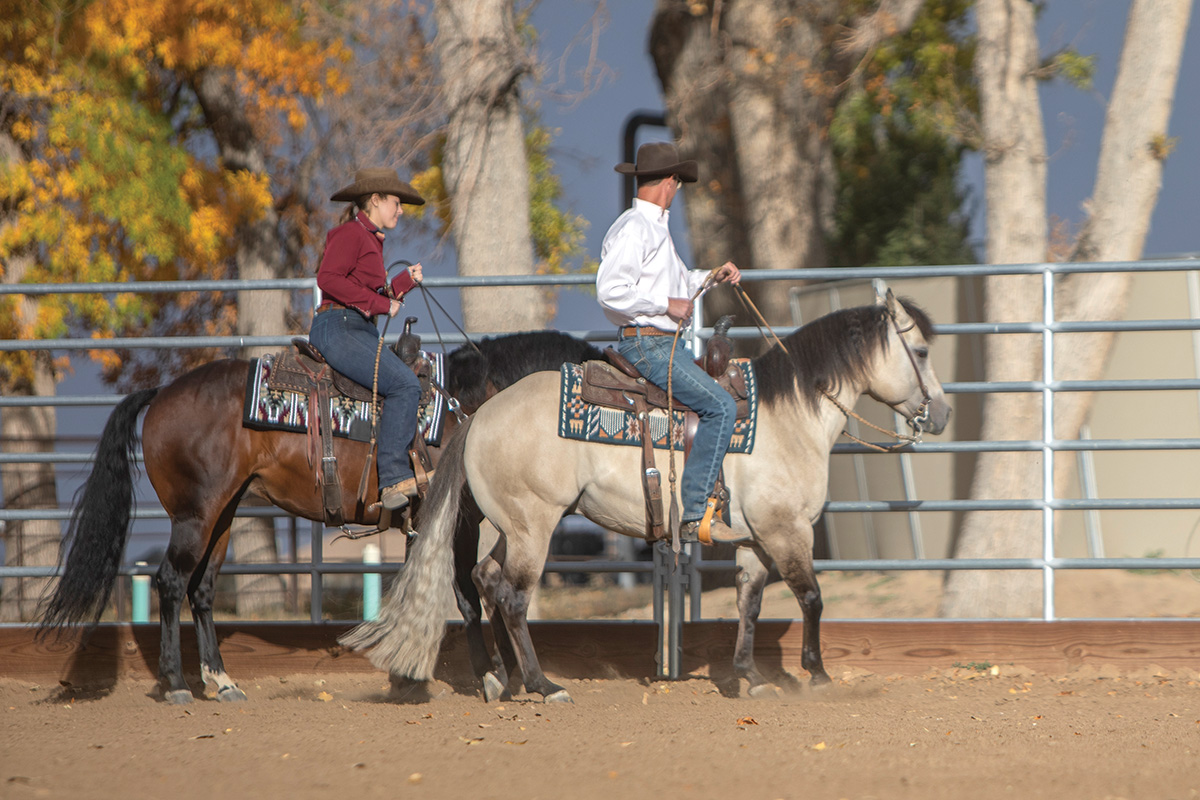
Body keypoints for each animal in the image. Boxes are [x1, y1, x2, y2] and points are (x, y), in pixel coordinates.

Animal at [37, 328, 600, 705]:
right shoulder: (457, 519)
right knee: (172, 583)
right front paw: (490, 678)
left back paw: (221, 681)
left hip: (224, 514)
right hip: (194, 516)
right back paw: (176, 684)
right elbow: (465, 597)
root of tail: (163, 393)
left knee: (203, 590)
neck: (470, 402)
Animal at [343, 291, 950, 705]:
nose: (942, 414)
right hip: (533, 526)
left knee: (486, 582)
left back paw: (507, 679)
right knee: (512, 597)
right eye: (920, 350)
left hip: (513, 527)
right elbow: (812, 598)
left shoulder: (756, 539)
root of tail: (477, 415)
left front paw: (750, 677)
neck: (788, 418)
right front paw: (818, 675)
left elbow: (750, 604)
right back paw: (543, 685)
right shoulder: (787, 530)